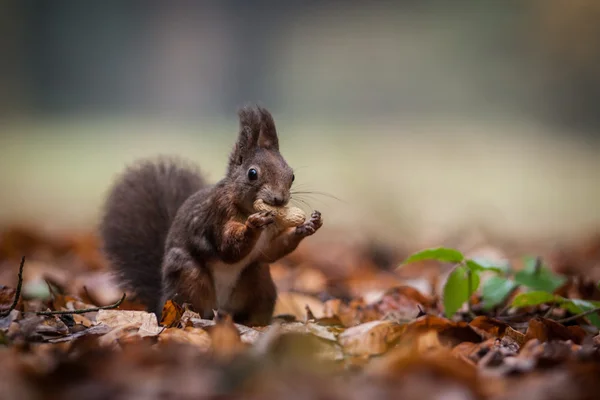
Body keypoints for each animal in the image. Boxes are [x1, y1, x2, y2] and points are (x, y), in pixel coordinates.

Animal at [99, 105, 324, 324]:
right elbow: (227, 248)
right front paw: (254, 225)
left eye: (291, 175)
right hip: (188, 278)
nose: (279, 199)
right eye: (252, 174)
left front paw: (307, 226)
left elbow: (271, 251)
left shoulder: (270, 236)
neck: (248, 208)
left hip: (259, 281)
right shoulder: (218, 213)